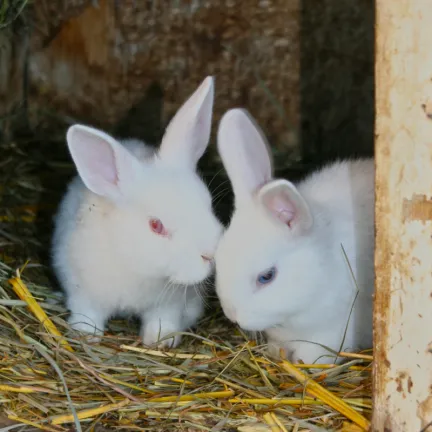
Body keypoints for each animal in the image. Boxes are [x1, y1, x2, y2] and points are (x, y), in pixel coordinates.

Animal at [51, 77, 223, 348]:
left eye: (209, 204)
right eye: (156, 225)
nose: (210, 255)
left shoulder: (171, 304)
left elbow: (162, 319)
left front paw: (160, 341)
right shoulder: (83, 291)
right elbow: (87, 313)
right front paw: (86, 334)